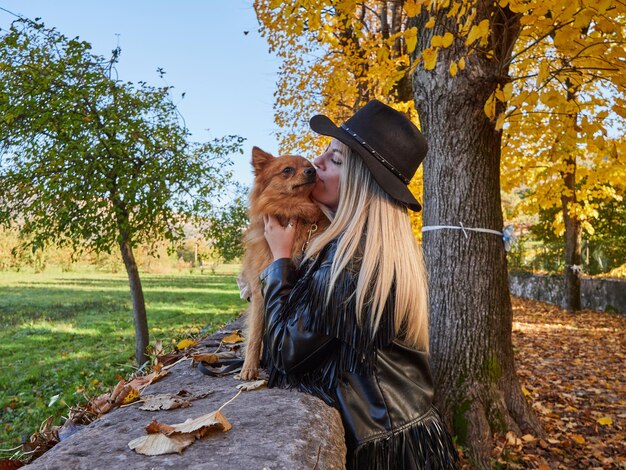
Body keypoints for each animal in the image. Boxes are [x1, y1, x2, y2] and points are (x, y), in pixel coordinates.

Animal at [238, 147, 330, 382]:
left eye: (310, 166)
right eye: (287, 170)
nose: (311, 171)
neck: (296, 213)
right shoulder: (259, 291)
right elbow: (255, 333)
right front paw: (249, 367)